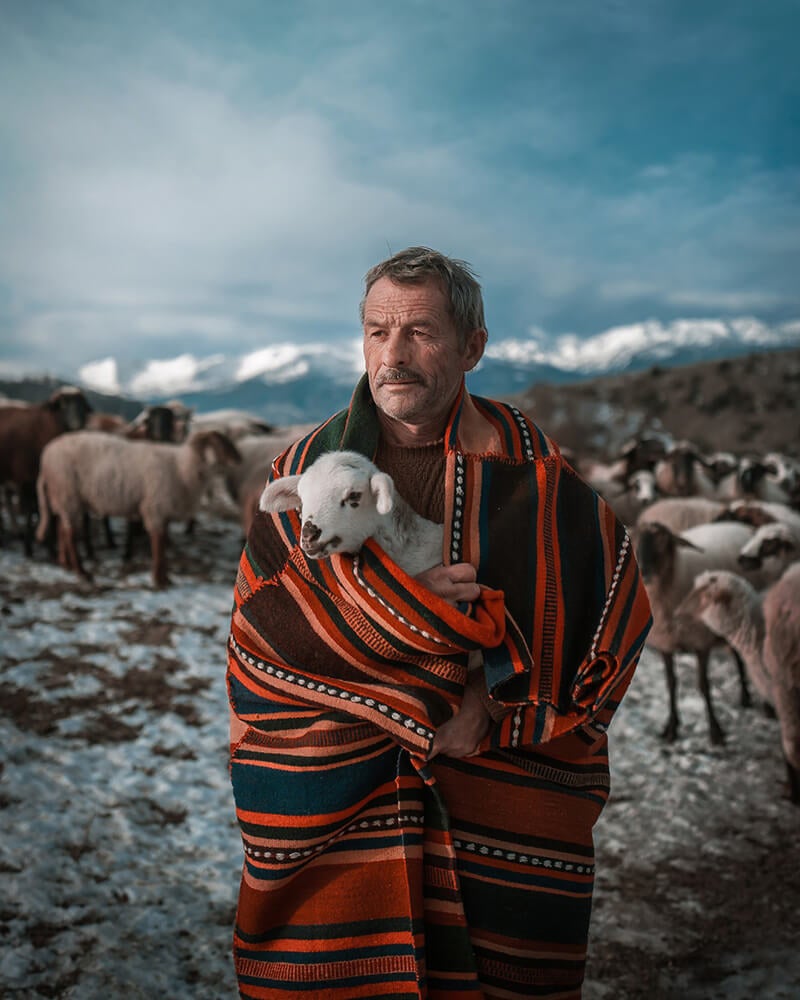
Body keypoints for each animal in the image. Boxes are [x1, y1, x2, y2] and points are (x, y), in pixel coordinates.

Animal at [35, 428, 241, 584]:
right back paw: (81, 571)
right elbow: (158, 546)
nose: (239, 460)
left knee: (62, 529)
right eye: (221, 444)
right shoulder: (155, 508)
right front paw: (159, 580)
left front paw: (165, 577)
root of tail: (46, 455)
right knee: (69, 534)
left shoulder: (162, 512)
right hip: (68, 495)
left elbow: (162, 544)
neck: (183, 468)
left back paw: (66, 564)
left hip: (65, 499)